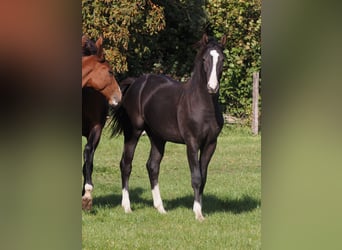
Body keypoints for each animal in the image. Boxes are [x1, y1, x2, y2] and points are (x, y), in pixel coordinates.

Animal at [111, 34, 226, 221]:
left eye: (222, 59)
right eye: (204, 59)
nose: (212, 87)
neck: (203, 105)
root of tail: (136, 82)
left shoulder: (210, 144)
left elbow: (203, 177)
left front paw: (200, 210)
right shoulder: (192, 143)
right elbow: (196, 177)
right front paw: (197, 213)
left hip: (158, 138)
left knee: (152, 166)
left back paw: (160, 208)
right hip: (133, 132)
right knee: (126, 165)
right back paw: (127, 207)